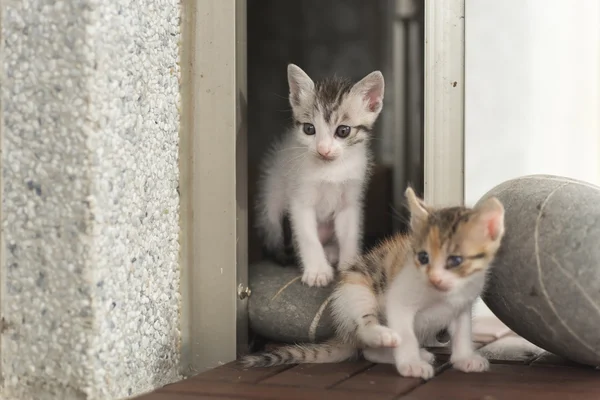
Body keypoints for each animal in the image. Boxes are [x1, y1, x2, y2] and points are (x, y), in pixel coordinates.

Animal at [241, 188, 504, 378]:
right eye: (423, 257)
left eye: (455, 260)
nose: (434, 278)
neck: (443, 295)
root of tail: (344, 334)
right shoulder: (399, 299)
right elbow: (405, 334)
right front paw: (411, 365)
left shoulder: (463, 304)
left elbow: (462, 332)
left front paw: (464, 359)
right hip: (356, 288)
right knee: (367, 335)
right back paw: (389, 339)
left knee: (369, 352)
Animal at [254, 63, 384, 288]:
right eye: (309, 129)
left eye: (343, 131)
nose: (323, 149)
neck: (330, 170)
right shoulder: (300, 198)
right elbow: (307, 236)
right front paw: (317, 271)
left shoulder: (351, 198)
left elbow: (349, 233)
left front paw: (349, 264)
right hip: (270, 201)